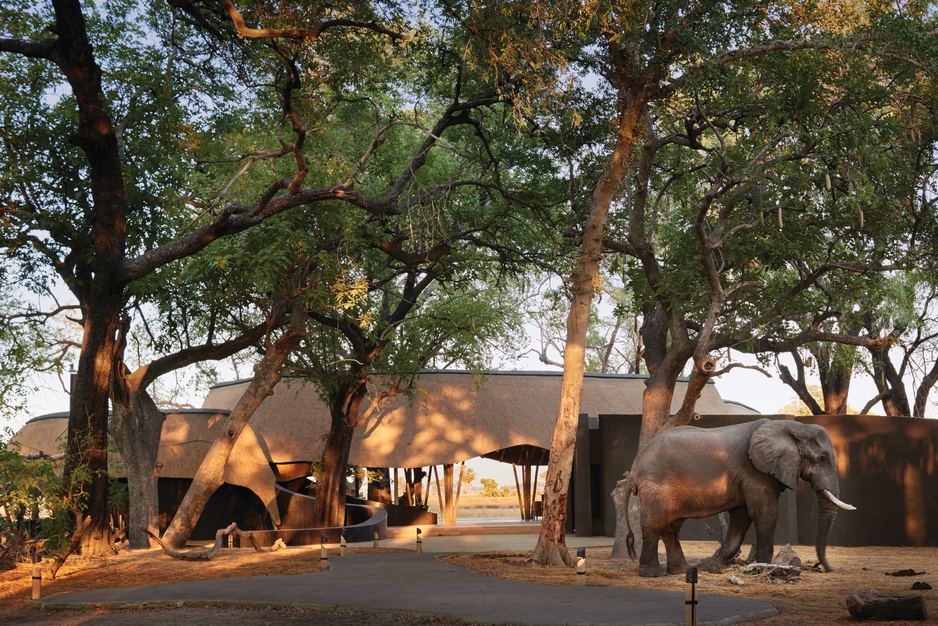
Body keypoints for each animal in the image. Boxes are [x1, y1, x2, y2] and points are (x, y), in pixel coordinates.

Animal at [624, 416, 852, 576]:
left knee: (672, 527)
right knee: (655, 523)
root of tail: (634, 467)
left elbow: (742, 516)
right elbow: (764, 512)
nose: (826, 568)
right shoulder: (755, 470)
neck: (792, 427)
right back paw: (653, 574)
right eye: (821, 458)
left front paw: (713, 566)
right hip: (656, 484)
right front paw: (766, 568)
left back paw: (682, 570)